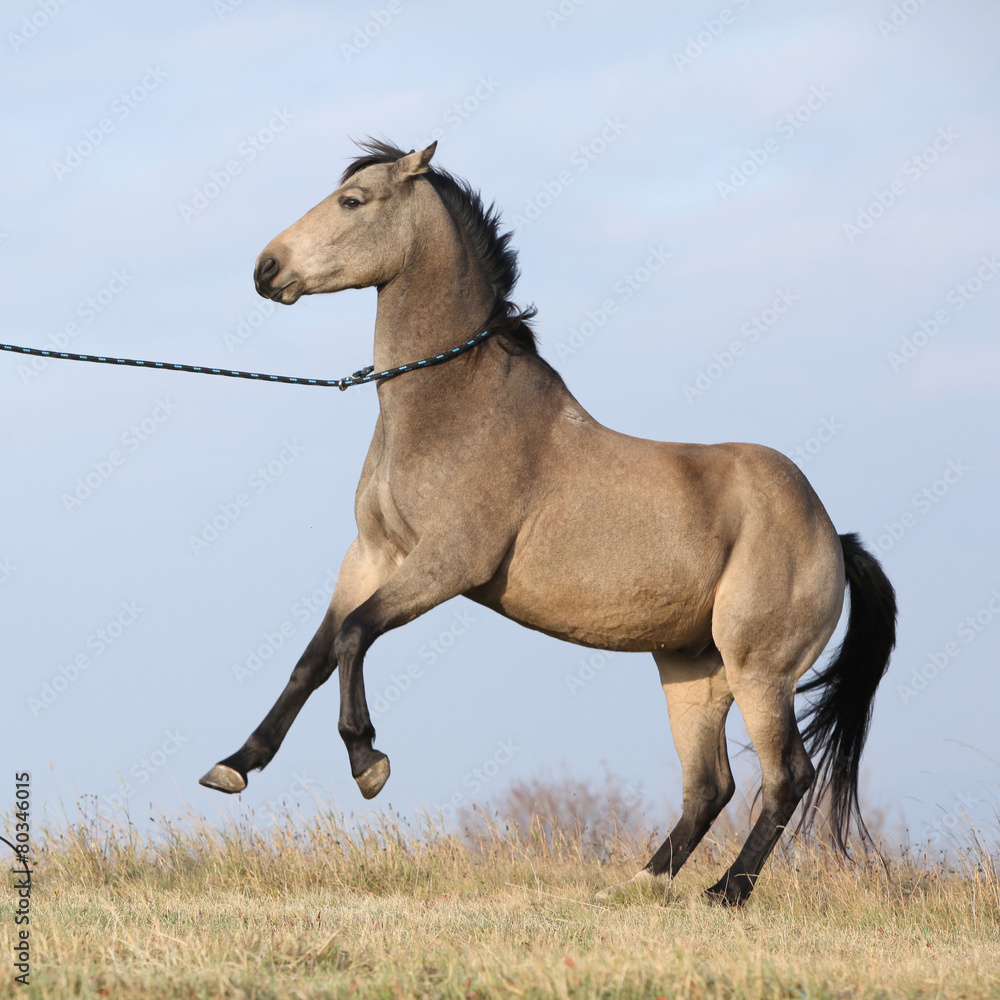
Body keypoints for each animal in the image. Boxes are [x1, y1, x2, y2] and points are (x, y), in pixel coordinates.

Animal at [200, 139, 896, 905]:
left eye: (353, 202)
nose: (266, 269)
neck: (457, 408)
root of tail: (831, 535)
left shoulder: (445, 564)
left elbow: (354, 636)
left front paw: (367, 760)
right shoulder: (373, 554)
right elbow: (315, 657)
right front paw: (236, 764)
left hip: (760, 670)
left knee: (785, 777)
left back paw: (726, 893)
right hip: (693, 670)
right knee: (710, 786)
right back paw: (638, 882)